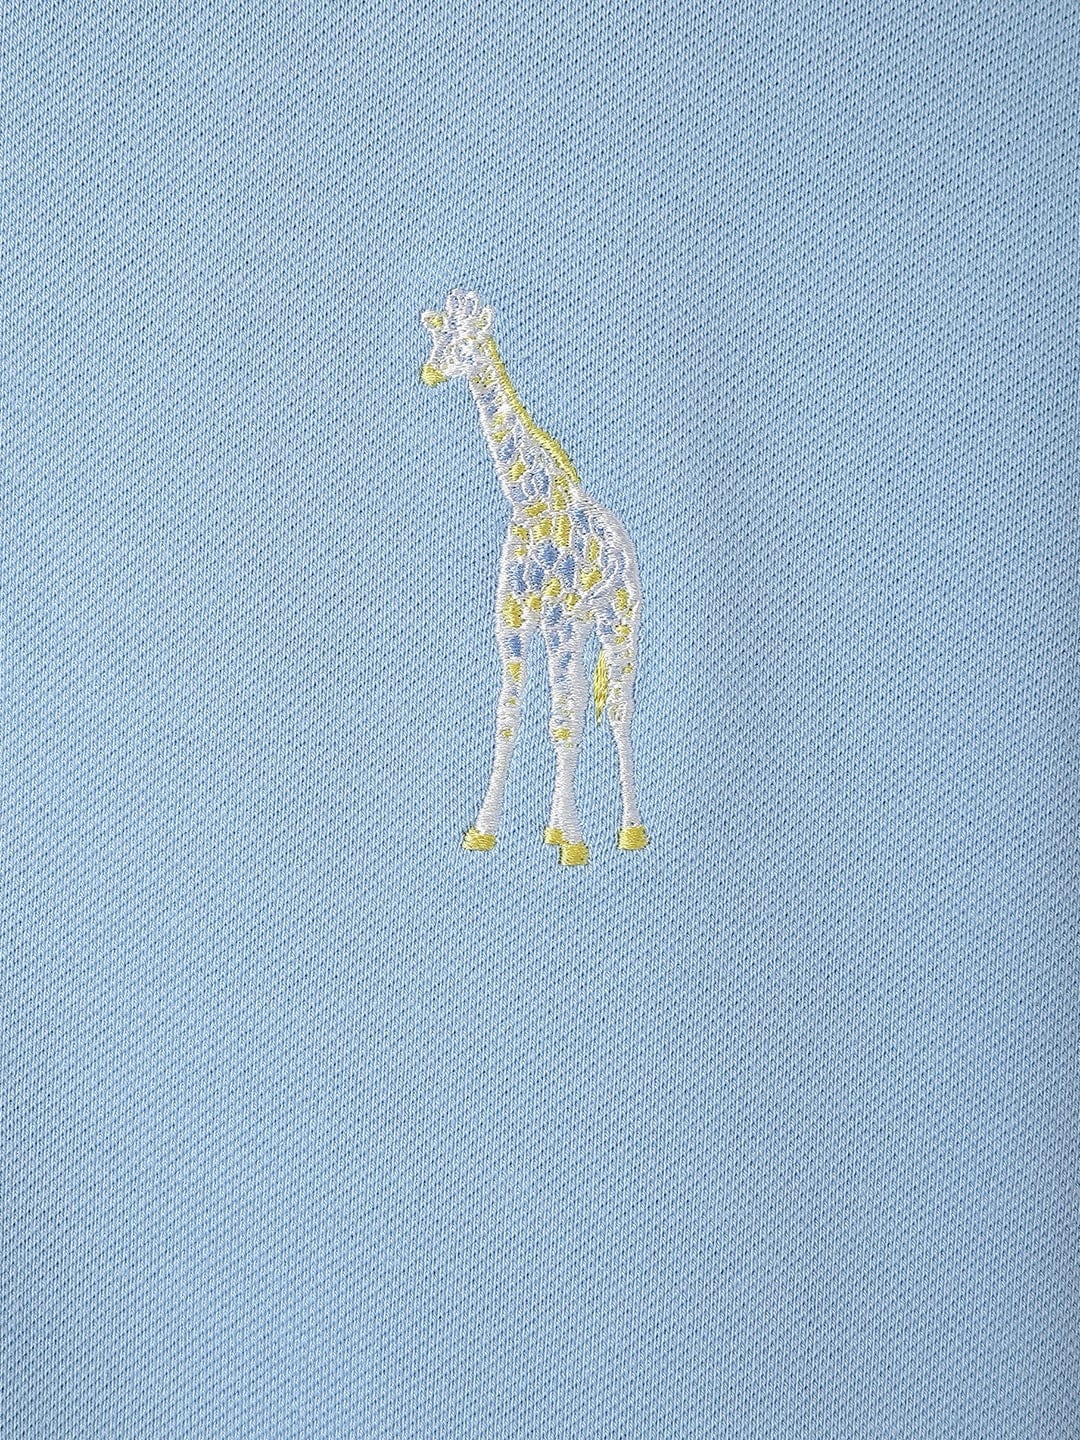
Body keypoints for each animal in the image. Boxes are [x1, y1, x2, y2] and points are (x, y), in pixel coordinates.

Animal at [420, 289, 648, 866]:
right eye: (438, 335)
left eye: (470, 340)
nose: (430, 372)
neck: (529, 502)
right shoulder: (515, 621)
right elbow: (509, 718)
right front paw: (484, 829)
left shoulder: (560, 621)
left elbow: (563, 722)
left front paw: (574, 842)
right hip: (575, 629)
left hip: (614, 622)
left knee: (615, 710)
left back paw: (628, 831)